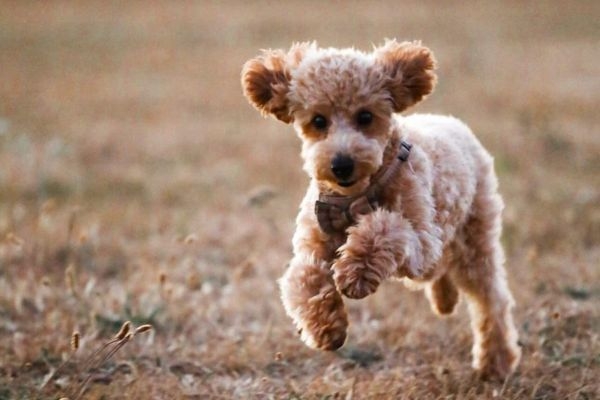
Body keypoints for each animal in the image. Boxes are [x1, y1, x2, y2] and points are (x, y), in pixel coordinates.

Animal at [241, 40, 524, 382]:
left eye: (365, 116)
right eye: (318, 121)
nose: (341, 164)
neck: (352, 199)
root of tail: (451, 121)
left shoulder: (421, 237)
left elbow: (385, 229)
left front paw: (356, 270)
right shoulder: (313, 241)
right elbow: (303, 276)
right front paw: (324, 326)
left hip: (472, 238)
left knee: (490, 299)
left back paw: (496, 362)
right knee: (441, 272)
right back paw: (445, 300)